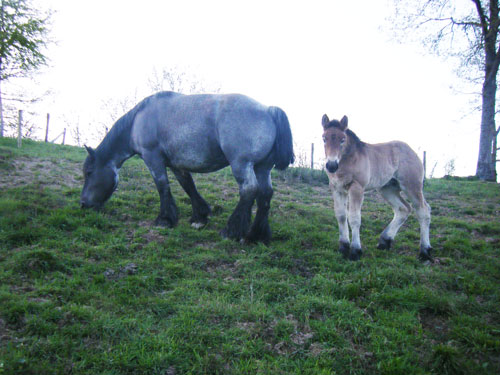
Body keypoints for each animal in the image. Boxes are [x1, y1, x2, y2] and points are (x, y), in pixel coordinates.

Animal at [80, 92, 294, 244]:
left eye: (89, 173)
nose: (83, 203)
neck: (137, 121)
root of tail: (268, 110)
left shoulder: (153, 158)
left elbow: (162, 187)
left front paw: (164, 219)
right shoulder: (176, 164)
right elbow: (188, 186)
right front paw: (199, 216)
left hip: (242, 164)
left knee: (249, 190)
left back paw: (231, 231)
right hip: (262, 167)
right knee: (265, 194)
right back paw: (257, 235)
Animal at [322, 114, 432, 262]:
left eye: (342, 139)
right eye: (324, 138)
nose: (331, 165)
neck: (349, 159)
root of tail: (411, 150)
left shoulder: (357, 188)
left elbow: (354, 218)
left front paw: (355, 251)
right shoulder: (336, 188)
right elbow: (341, 216)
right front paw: (343, 247)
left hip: (411, 185)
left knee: (423, 210)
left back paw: (425, 251)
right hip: (387, 188)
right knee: (403, 208)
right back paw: (385, 241)